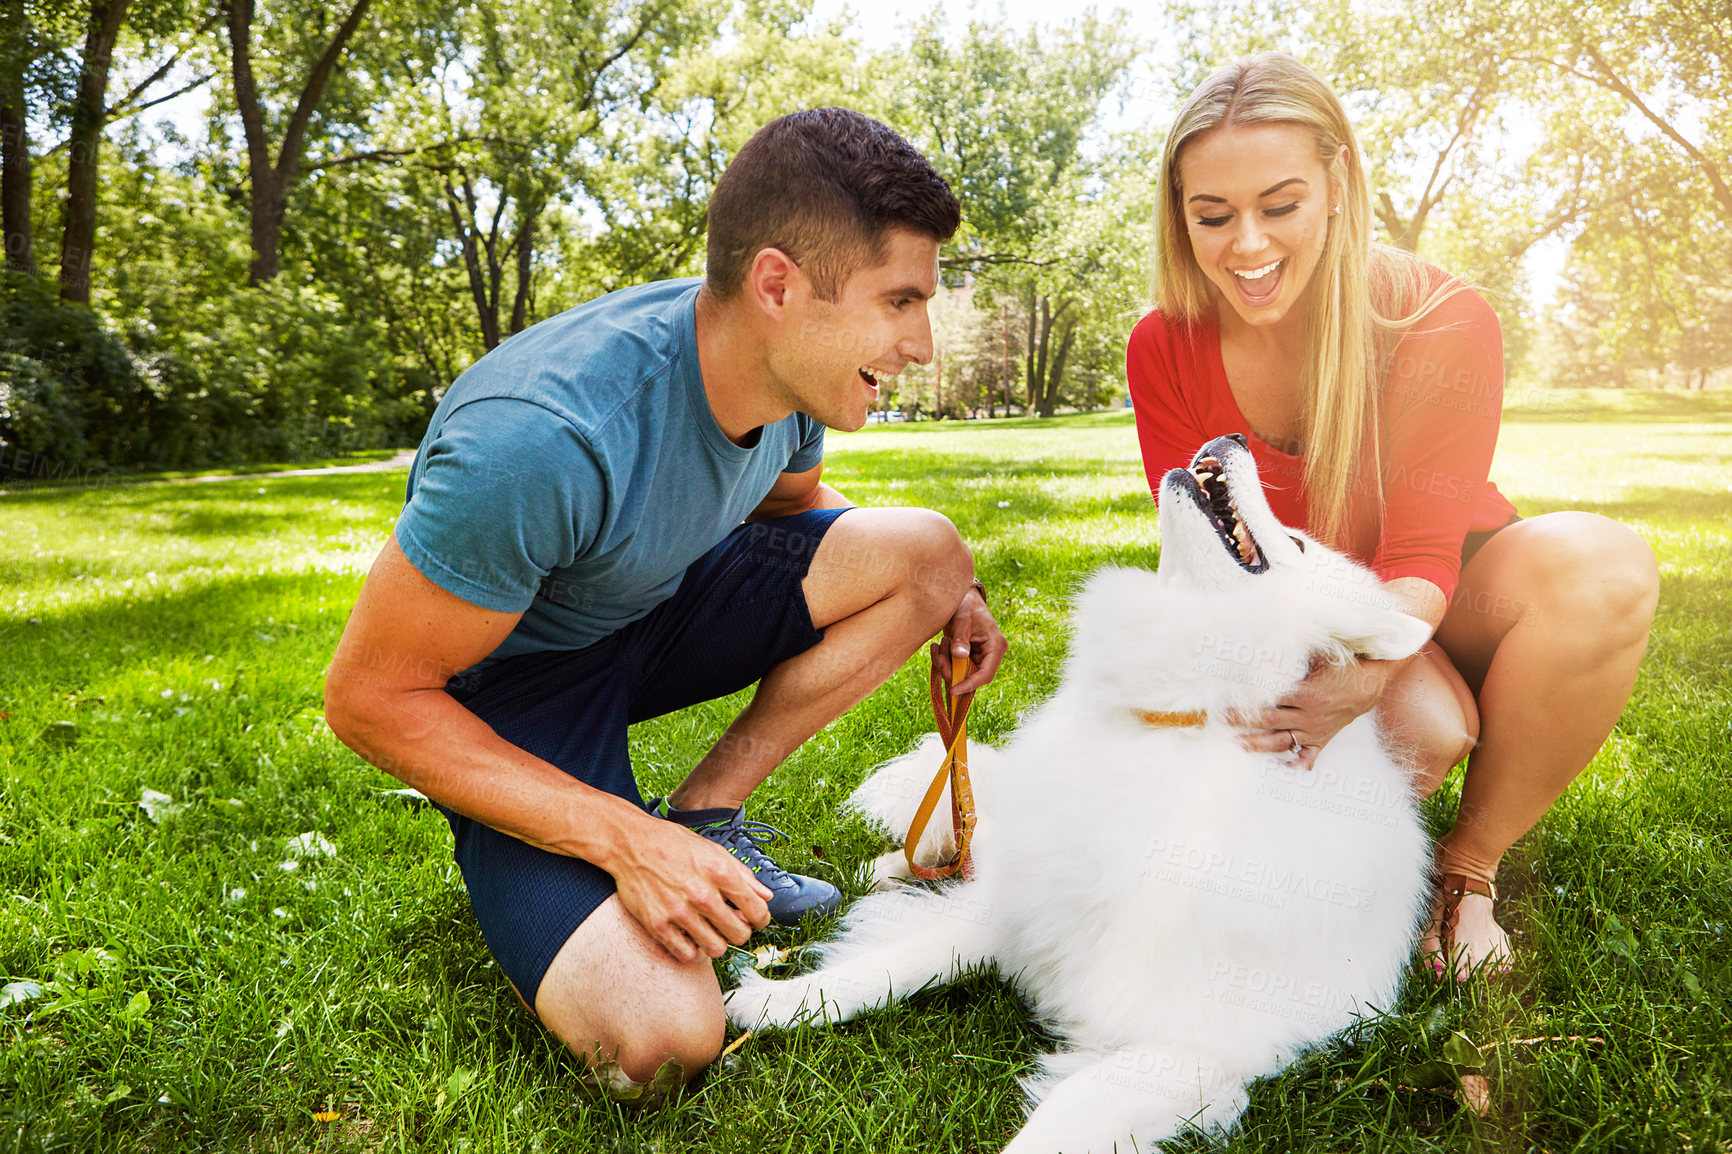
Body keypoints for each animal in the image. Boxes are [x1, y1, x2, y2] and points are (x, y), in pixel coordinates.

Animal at [727, 433, 1434, 1150]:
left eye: (1296, 541)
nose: (1230, 438)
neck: (1195, 718)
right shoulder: (1016, 913)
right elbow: (887, 966)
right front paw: (775, 1000)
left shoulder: (1189, 1051)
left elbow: (1051, 1127)